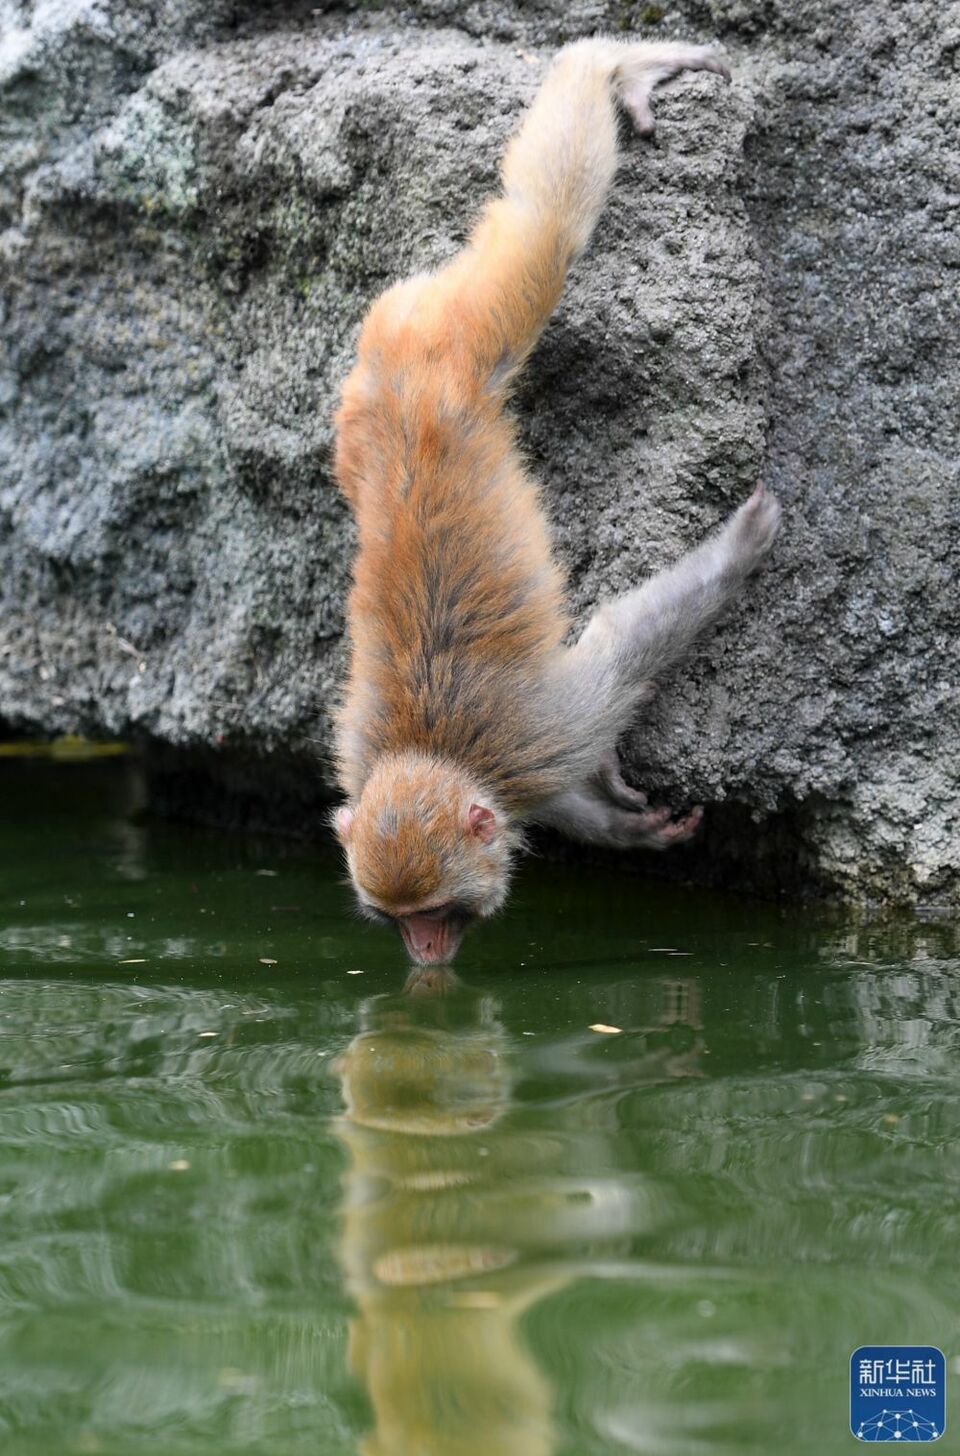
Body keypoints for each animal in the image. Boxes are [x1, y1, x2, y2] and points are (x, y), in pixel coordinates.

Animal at [330, 36, 780, 966]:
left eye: (436, 911)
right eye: (397, 918)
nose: (423, 953)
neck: (430, 751)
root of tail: (406, 362)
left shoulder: (539, 734)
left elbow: (619, 648)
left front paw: (739, 547)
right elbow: (550, 800)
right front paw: (621, 827)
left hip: (468, 338)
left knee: (546, 227)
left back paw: (612, 64)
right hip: (361, 409)